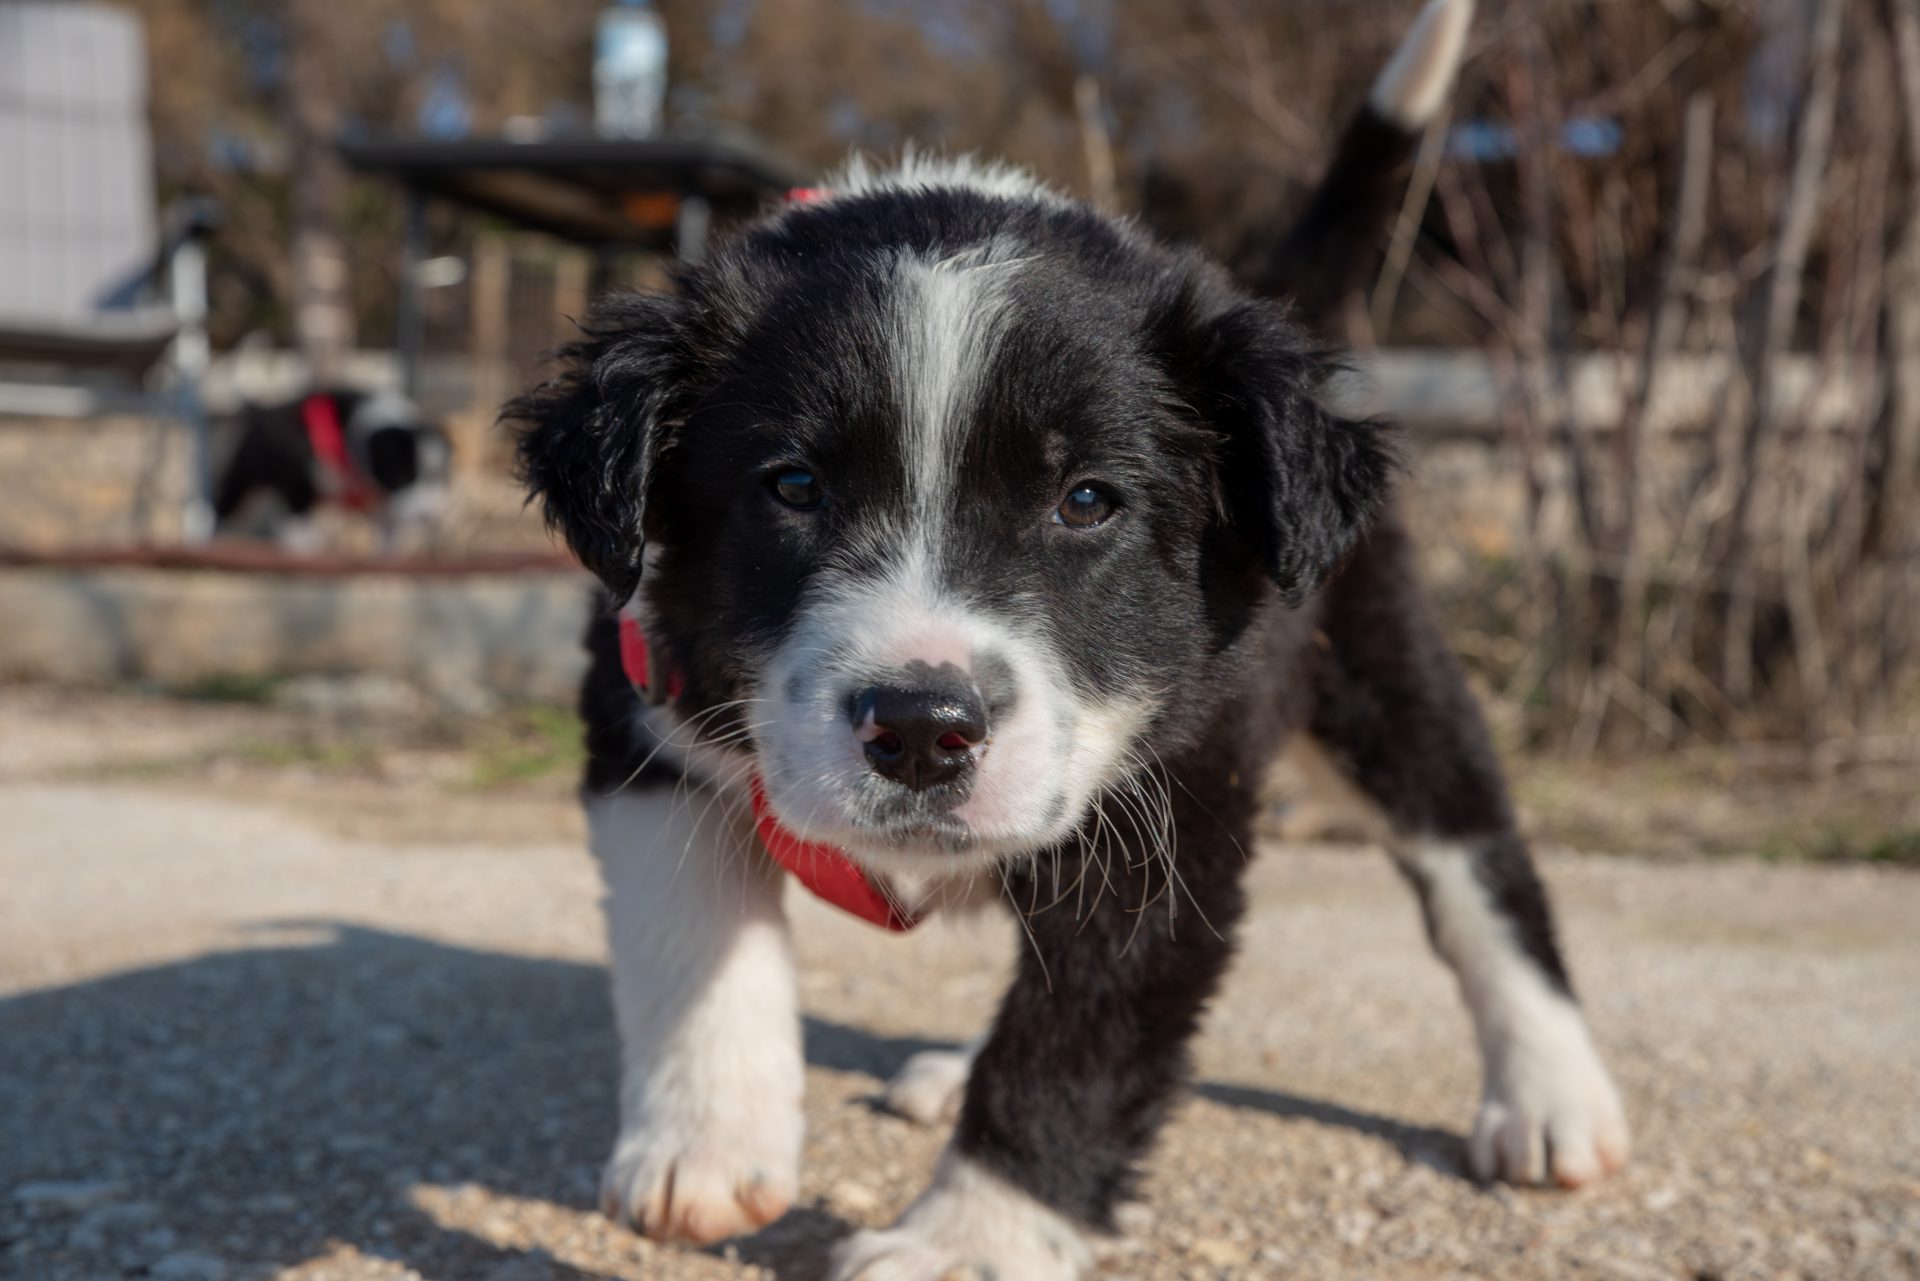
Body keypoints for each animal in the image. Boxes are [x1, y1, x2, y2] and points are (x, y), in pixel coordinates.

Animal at [213, 388, 451, 551]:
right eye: (404, 476)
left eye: (439, 479)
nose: (429, 516)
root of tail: (260, 411)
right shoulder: (298, 474)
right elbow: (296, 509)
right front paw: (301, 540)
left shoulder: (379, 498)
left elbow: (388, 522)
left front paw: (388, 548)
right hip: (244, 475)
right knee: (225, 505)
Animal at [507, 2, 1628, 1276]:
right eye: (793, 486)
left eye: (1085, 501)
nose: (921, 731)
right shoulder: (640, 703)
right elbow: (689, 937)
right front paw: (704, 1147)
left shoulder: (1176, 813)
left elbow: (1079, 1042)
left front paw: (968, 1240)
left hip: (1380, 673)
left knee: (1477, 861)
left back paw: (1552, 1095)